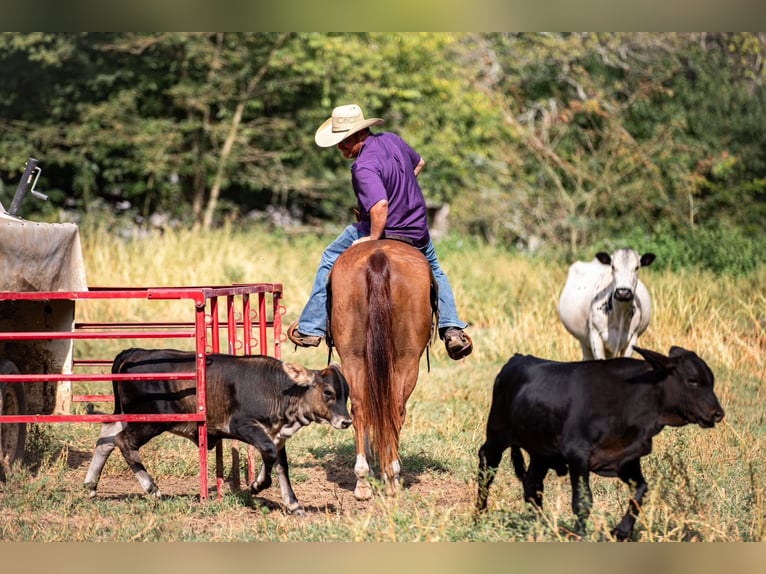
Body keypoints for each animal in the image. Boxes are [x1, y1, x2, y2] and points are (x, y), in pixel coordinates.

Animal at [328, 239, 436, 500]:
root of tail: (378, 256)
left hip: (354, 357)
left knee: (361, 408)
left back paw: (363, 481)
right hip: (408, 360)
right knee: (395, 409)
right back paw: (391, 477)